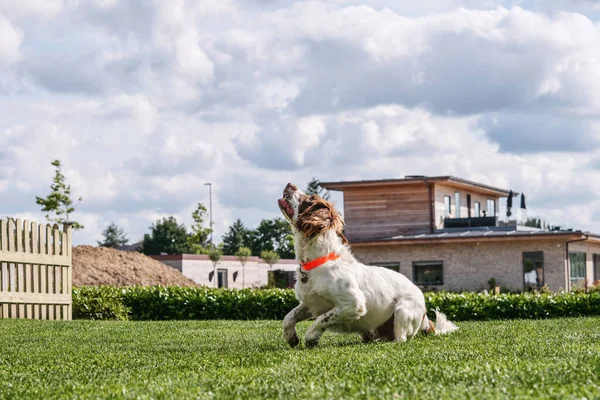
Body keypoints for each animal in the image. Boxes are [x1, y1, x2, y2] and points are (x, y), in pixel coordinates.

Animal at [278, 182, 460, 346]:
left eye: (309, 199)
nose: (289, 184)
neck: (318, 260)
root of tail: (426, 318)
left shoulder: (353, 304)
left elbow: (322, 319)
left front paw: (311, 337)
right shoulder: (309, 303)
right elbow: (288, 317)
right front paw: (291, 337)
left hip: (402, 310)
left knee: (401, 339)